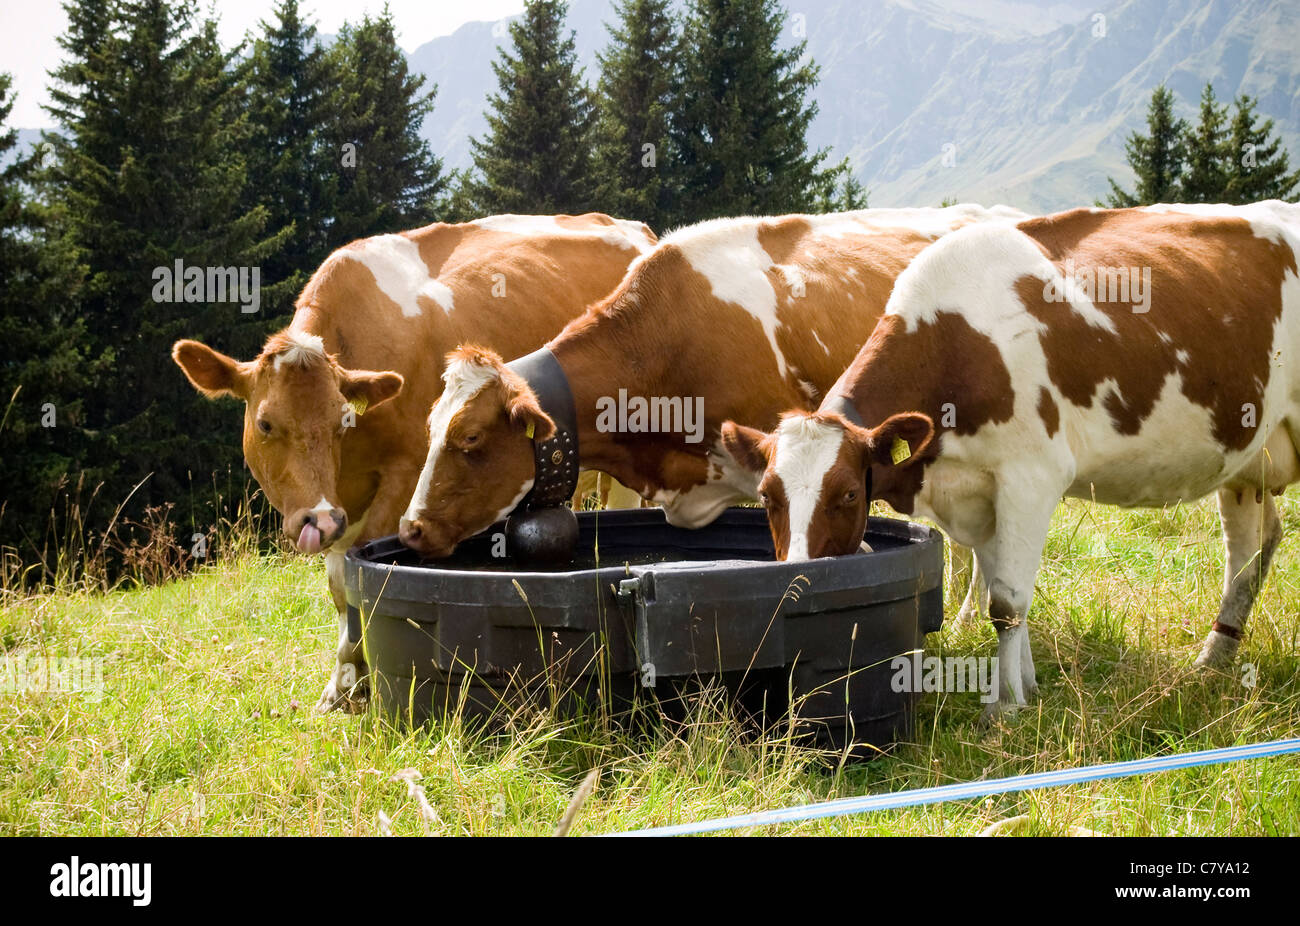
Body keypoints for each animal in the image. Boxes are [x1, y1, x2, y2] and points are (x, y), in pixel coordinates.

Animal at [174, 213, 655, 712]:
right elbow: (338, 583)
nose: (319, 520)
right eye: (266, 423)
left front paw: (350, 676)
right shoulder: (340, 504)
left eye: (340, 420)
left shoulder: (403, 476)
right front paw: (344, 684)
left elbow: (356, 578)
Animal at [722, 202, 1300, 717]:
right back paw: (1213, 659)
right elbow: (1004, 591)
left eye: (847, 493)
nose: (797, 578)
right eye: (767, 496)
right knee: (1251, 545)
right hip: (1249, 457)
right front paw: (1025, 686)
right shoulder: (979, 489)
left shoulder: (1030, 476)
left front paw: (1003, 708)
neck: (957, 342)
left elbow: (1006, 603)